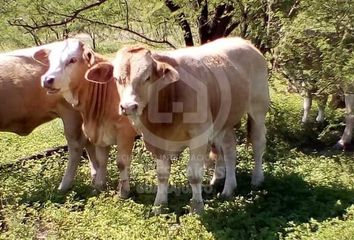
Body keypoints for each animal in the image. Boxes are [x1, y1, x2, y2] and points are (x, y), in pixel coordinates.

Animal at [35, 39, 136, 197]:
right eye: (50, 60)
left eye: (72, 60)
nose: (47, 80)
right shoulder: (100, 133)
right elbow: (101, 160)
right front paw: (99, 187)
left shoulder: (126, 131)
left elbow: (122, 162)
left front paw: (123, 192)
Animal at [85, 36, 268, 213]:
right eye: (117, 79)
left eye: (147, 77)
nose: (128, 106)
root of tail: (245, 43)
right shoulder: (156, 141)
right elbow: (162, 174)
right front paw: (159, 205)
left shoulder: (199, 137)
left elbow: (194, 174)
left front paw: (196, 206)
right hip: (225, 121)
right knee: (229, 149)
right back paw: (227, 187)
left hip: (258, 109)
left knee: (258, 143)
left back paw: (257, 179)